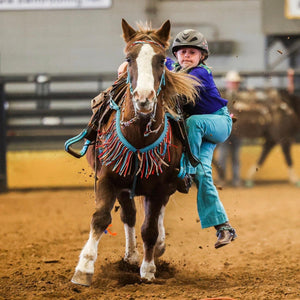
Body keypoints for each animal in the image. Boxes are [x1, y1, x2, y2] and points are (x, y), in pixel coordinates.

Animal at [70, 18, 197, 286]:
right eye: (129, 58)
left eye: (161, 59)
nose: (144, 98)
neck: (138, 134)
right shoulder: (107, 179)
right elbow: (101, 218)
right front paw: (84, 269)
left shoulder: (160, 186)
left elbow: (149, 228)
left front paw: (148, 269)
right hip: (124, 186)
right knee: (129, 215)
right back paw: (130, 255)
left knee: (155, 216)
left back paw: (156, 247)